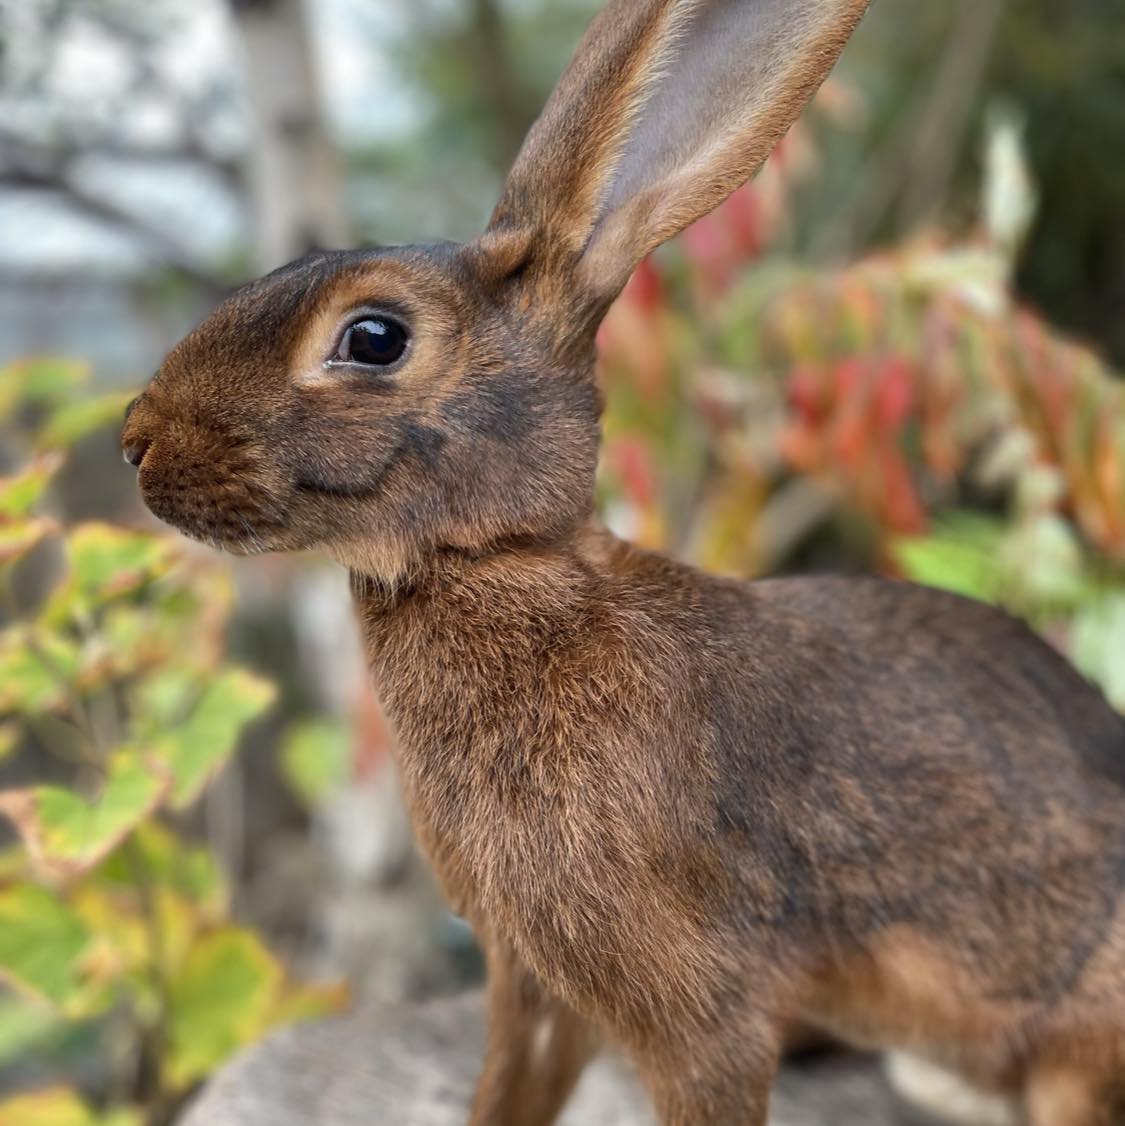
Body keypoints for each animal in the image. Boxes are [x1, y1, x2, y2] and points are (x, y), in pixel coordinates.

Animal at [122, 0, 1125, 1123]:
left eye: (374, 337)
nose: (136, 440)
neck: (506, 564)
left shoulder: (694, 1011)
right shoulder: (529, 975)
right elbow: (508, 1088)